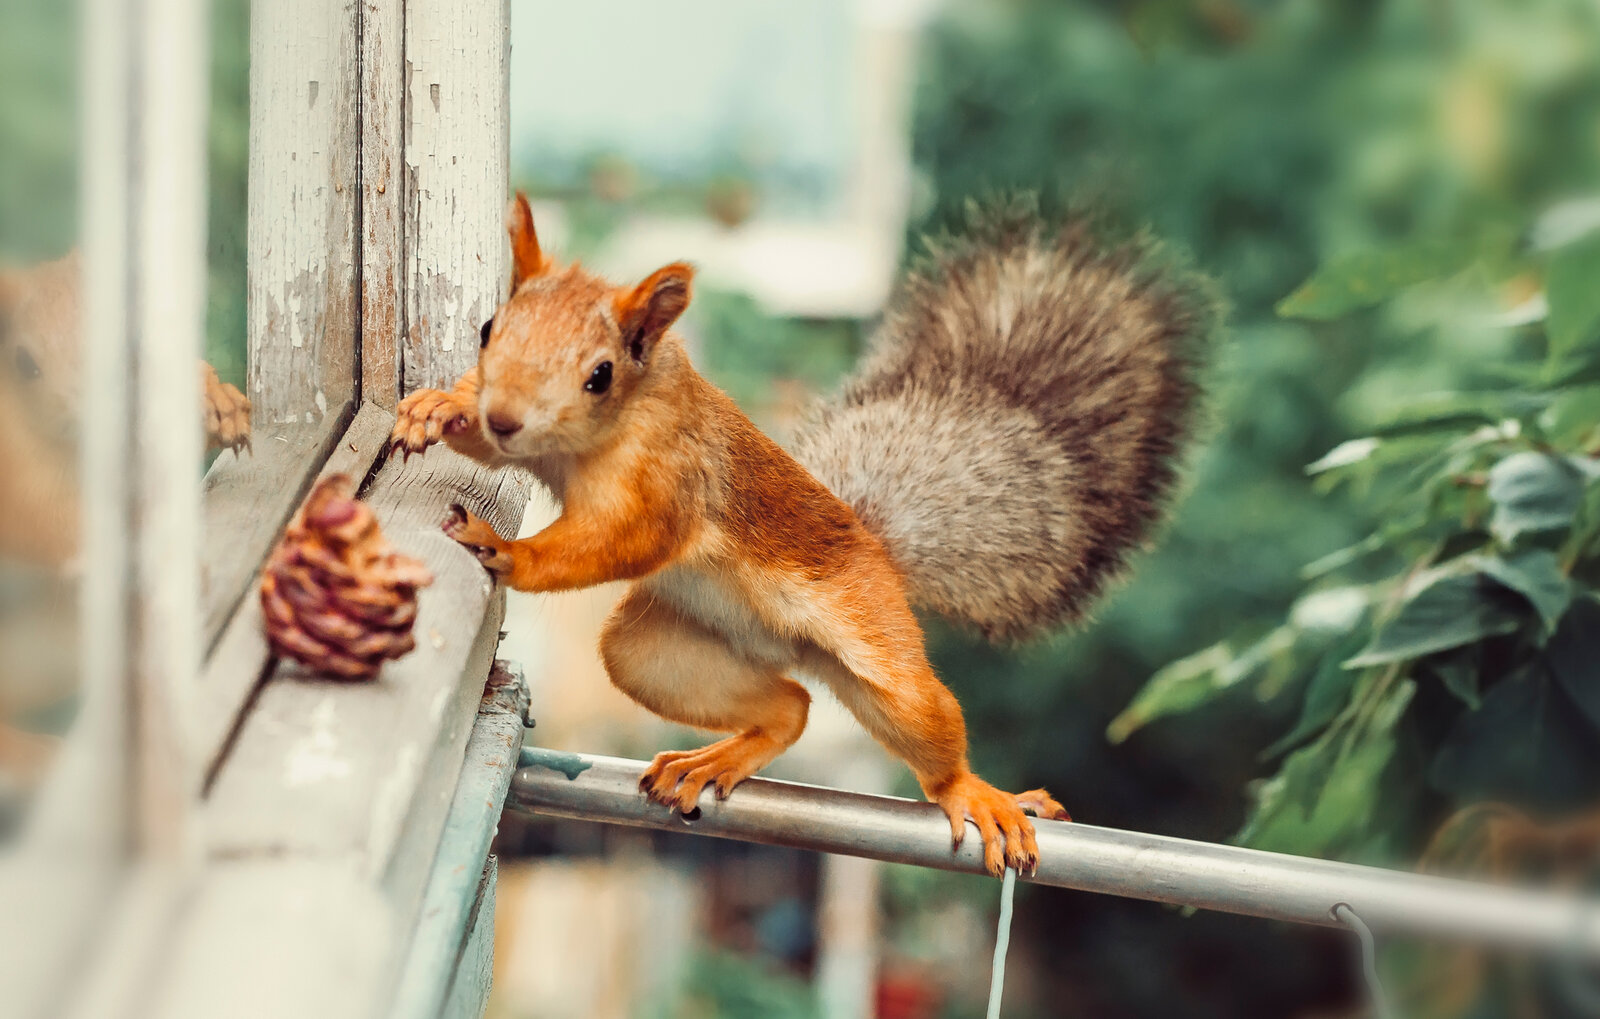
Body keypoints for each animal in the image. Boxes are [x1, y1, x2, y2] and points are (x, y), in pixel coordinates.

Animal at [391, 193, 1217, 875]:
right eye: (488, 329)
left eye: (599, 374)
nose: (505, 415)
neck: (595, 435)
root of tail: (876, 548)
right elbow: (487, 449)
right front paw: (439, 410)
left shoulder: (667, 484)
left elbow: (618, 541)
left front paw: (508, 549)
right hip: (657, 651)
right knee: (789, 704)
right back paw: (715, 757)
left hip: (880, 652)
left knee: (923, 727)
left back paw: (976, 791)